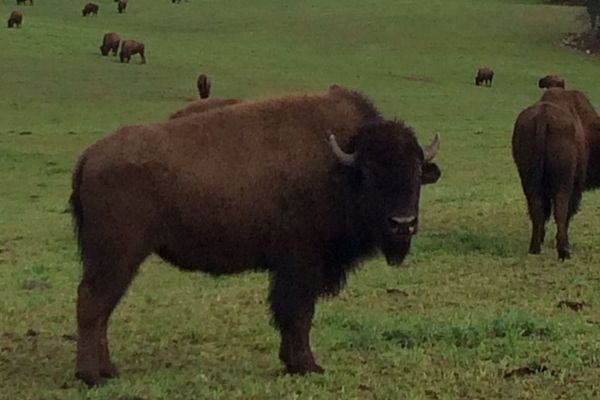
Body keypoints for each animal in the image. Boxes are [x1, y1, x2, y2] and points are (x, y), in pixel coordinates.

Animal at [72, 85, 442, 388]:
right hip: (117, 257)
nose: (403, 223)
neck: (338, 168)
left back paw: (108, 371)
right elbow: (298, 314)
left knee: (102, 309)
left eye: (416, 171)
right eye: (368, 173)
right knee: (92, 304)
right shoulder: (301, 266)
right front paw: (307, 366)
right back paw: (92, 377)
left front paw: (293, 363)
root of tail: (89, 156)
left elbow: (290, 315)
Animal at [510, 88, 600, 260]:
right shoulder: (575, 186)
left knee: (536, 207)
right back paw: (564, 251)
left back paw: (535, 247)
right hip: (564, 183)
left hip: (527, 179)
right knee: (560, 208)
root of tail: (543, 117)